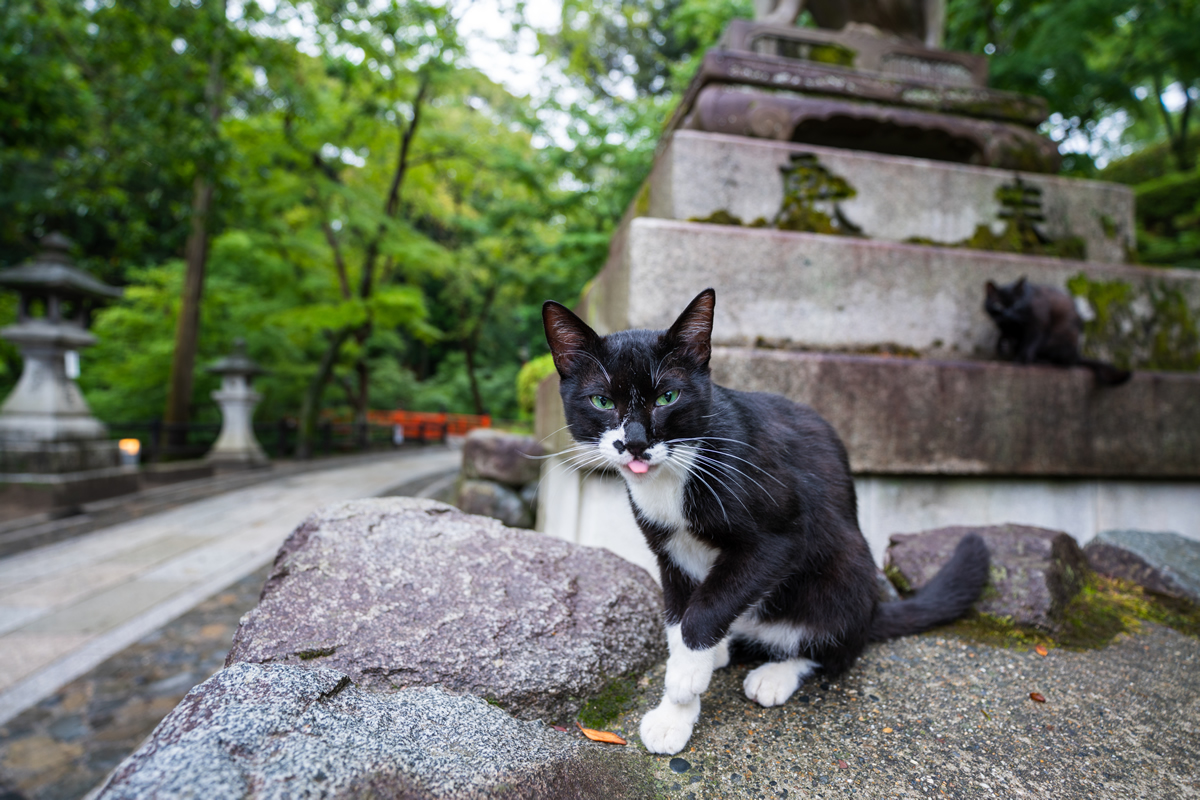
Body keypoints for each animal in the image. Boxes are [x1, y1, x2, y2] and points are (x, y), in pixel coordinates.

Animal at [544, 287, 993, 758]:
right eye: (601, 401)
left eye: (668, 397)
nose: (634, 443)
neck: (677, 473)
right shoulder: (670, 553)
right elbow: (678, 617)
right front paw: (676, 711)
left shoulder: (779, 535)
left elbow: (706, 608)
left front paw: (684, 679)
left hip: (848, 567)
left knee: (836, 645)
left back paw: (776, 673)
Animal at [979, 277, 1128, 386]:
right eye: (998, 305)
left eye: (1017, 305)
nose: (1008, 314)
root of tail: (1076, 355)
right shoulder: (1007, 329)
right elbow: (1006, 337)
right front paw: (1003, 346)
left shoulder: (1039, 323)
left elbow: (1030, 343)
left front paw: (1021, 360)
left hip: (1060, 338)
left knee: (1063, 362)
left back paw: (1041, 361)